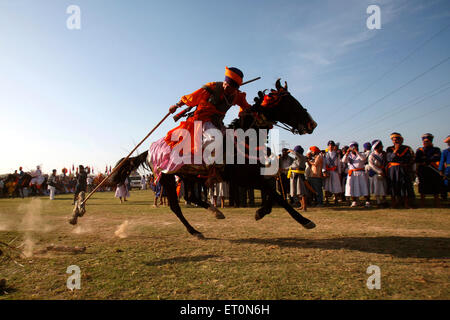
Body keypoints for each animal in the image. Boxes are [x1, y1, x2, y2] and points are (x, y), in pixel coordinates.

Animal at [101, 79, 316, 238]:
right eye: (290, 103)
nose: (311, 124)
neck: (243, 139)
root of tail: (150, 149)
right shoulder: (243, 179)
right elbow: (276, 194)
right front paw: (305, 221)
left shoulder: (254, 177)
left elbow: (273, 193)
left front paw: (260, 212)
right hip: (168, 177)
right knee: (176, 206)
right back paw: (194, 231)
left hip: (188, 176)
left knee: (190, 196)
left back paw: (215, 211)